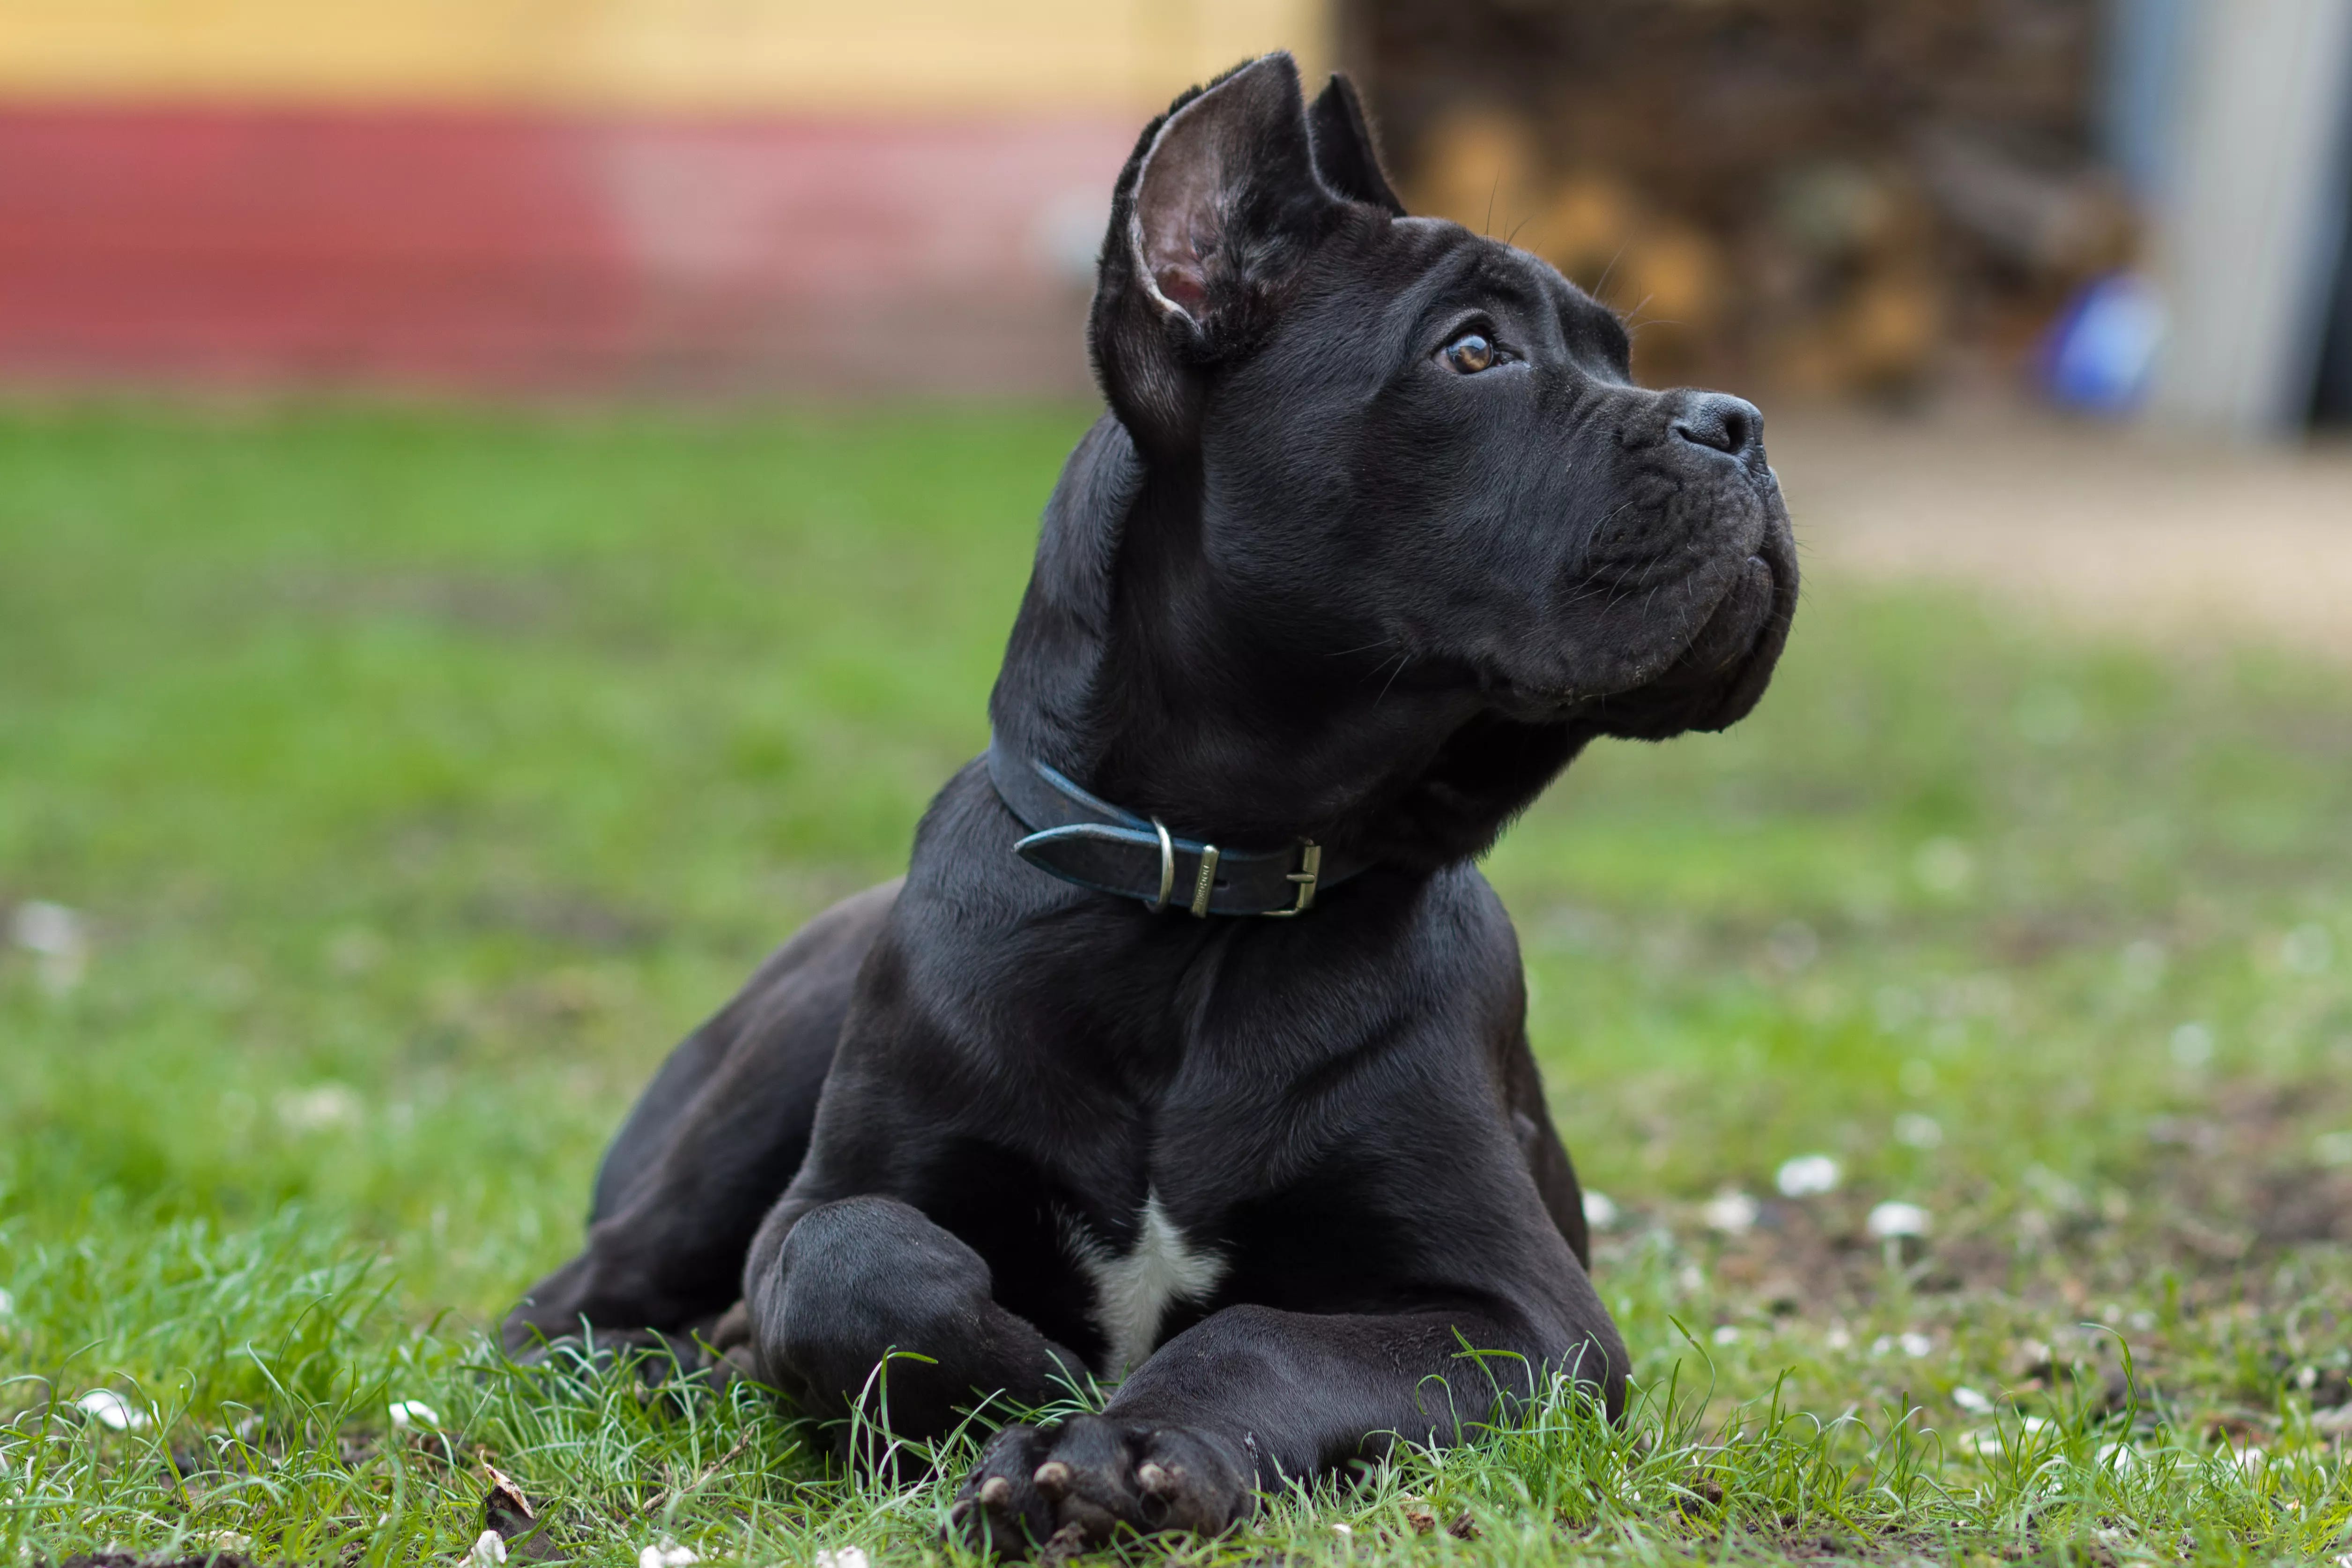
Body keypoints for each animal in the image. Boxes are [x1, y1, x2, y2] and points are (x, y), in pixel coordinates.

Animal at [510, 49, 1797, 1561]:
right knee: (559, 1307)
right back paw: (673, 1363)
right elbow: (851, 1255)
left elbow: (1259, 1334)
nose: (1735, 423)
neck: (1198, 901)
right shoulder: (823, 1202)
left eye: (1622, 356)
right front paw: (1020, 1373)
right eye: (1472, 352)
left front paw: (1115, 1443)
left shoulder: (1524, 1316)